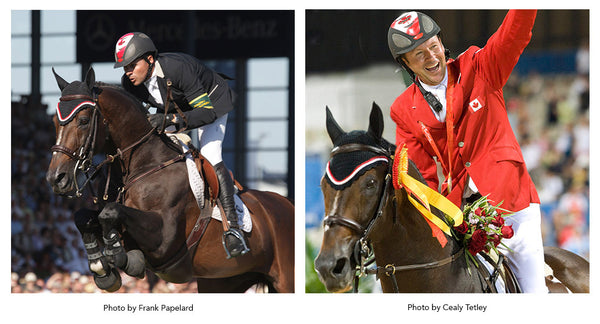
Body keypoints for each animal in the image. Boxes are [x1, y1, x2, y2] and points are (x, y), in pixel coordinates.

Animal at [45, 68, 294, 294]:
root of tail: (286, 204)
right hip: (222, 281)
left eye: (83, 120)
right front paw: (101, 268)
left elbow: (110, 214)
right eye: (55, 121)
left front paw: (123, 258)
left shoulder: (164, 239)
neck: (143, 164)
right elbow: (84, 217)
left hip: (284, 281)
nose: (56, 178)